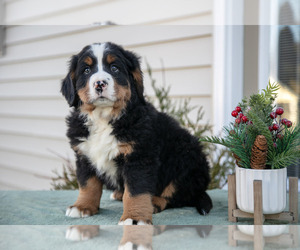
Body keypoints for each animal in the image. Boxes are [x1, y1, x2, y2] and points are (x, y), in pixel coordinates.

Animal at [61, 41, 212, 225]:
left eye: (114, 68)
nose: (100, 83)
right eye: (86, 70)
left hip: (185, 158)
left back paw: (154, 202)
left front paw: (134, 218)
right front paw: (82, 206)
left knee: (178, 193)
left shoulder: (139, 157)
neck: (104, 118)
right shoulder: (84, 155)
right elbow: (87, 185)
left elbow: (136, 191)